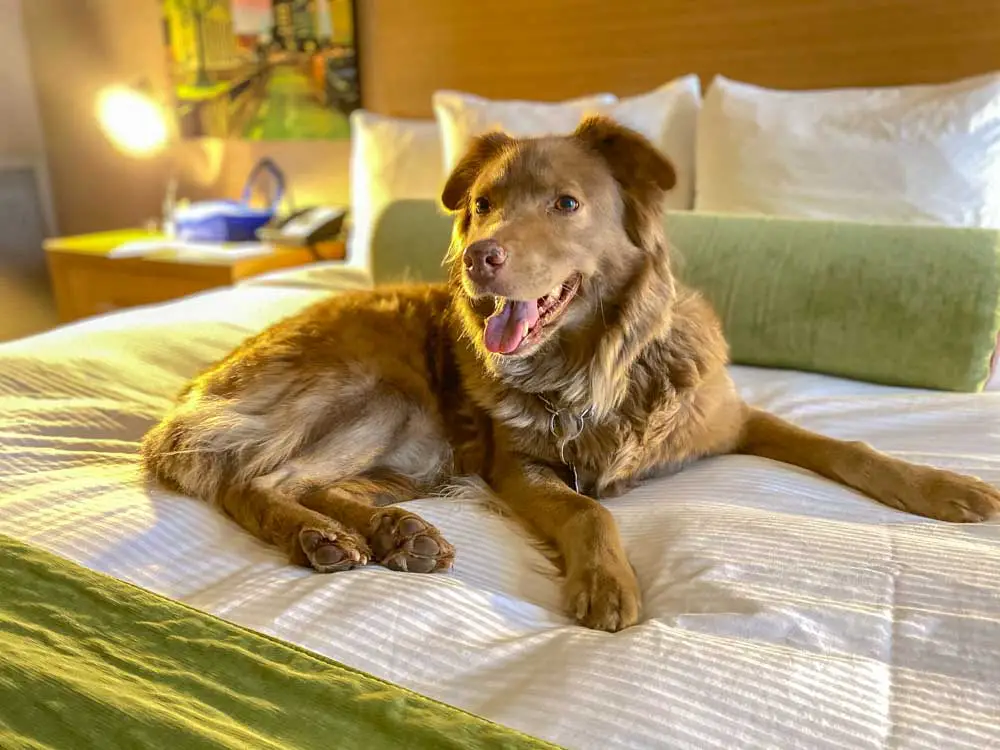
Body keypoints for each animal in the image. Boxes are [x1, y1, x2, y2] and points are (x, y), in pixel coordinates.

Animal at [141, 117, 1000, 636]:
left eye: (565, 204)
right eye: (482, 205)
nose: (478, 258)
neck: (599, 365)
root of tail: (190, 394)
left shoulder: (732, 418)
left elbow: (847, 448)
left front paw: (945, 488)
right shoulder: (517, 468)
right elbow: (591, 513)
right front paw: (607, 583)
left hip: (420, 449)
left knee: (320, 483)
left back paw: (397, 534)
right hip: (384, 397)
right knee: (254, 478)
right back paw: (318, 536)